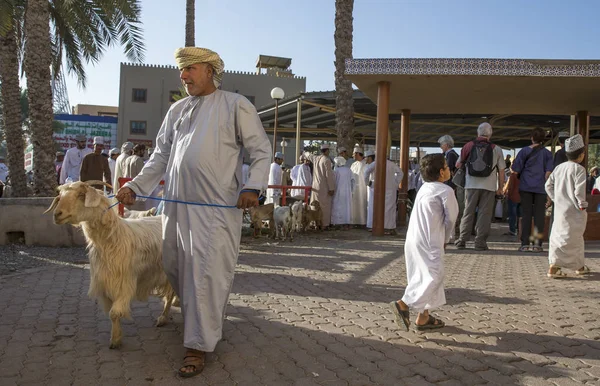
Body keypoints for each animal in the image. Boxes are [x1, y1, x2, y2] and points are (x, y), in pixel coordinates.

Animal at [44, 181, 176, 350]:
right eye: (60, 196)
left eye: (81, 195)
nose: (57, 214)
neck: (114, 238)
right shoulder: (105, 282)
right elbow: (111, 314)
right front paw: (116, 336)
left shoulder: (124, 283)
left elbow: (114, 313)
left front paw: (115, 340)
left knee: (170, 293)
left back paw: (163, 317)